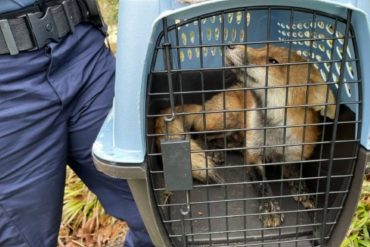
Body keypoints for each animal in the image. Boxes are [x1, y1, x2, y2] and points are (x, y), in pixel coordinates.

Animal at [155, 45, 336, 227]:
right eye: (261, 47)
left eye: (273, 61)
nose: (230, 44)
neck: (275, 133)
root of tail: (204, 105)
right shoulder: (253, 156)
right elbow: (262, 184)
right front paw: (270, 208)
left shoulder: (293, 153)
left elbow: (295, 171)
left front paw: (302, 189)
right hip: (228, 117)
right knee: (200, 136)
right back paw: (215, 152)